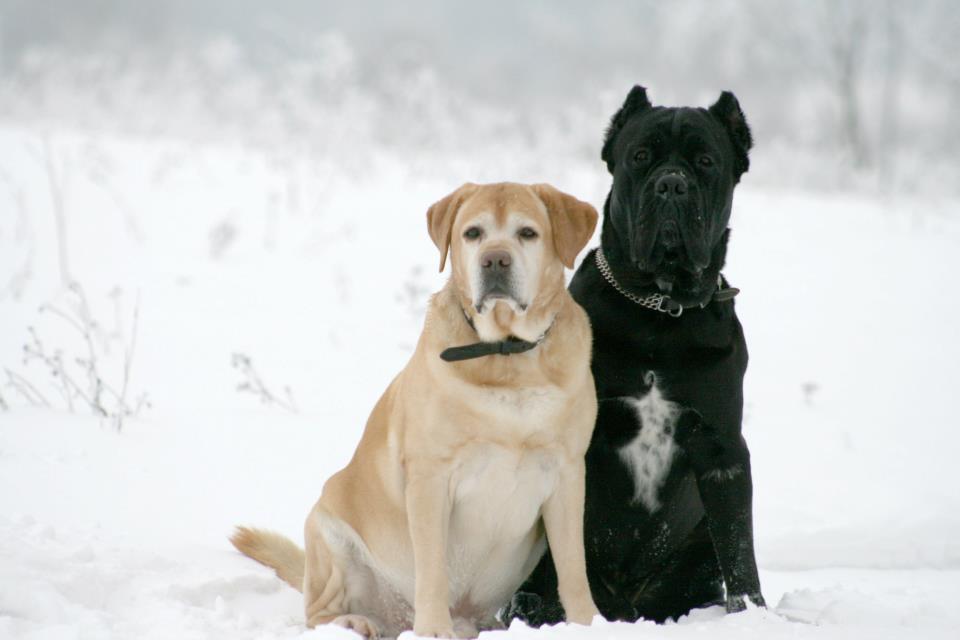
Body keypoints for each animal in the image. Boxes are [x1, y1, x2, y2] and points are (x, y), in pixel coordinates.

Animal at [510, 85, 764, 624]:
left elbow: (739, 547)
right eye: (641, 156)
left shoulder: (722, 449)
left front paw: (753, 612)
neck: (659, 312)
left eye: (706, 161)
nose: (671, 185)